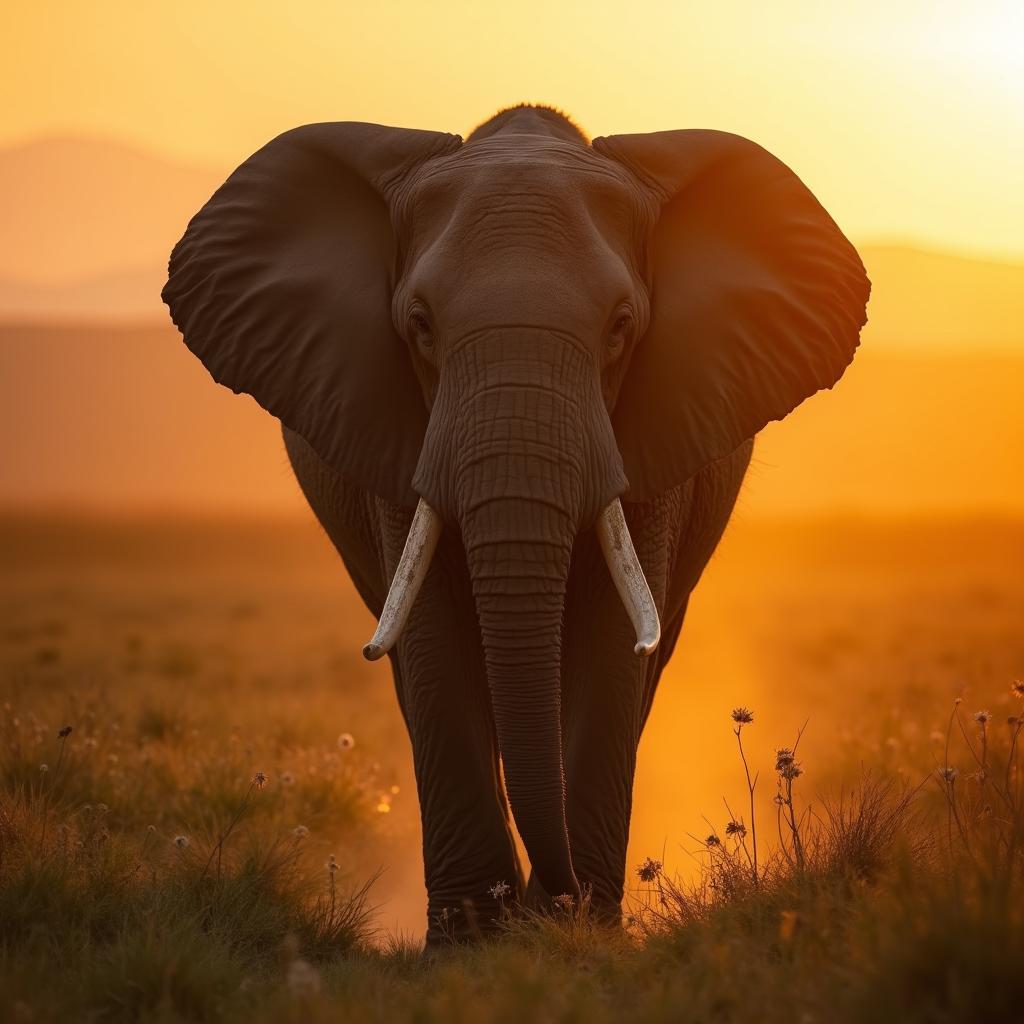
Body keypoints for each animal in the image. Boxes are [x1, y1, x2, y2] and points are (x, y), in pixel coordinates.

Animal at [163, 103, 868, 942]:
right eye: (420, 325)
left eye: (621, 326)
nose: (550, 899)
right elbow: (434, 643)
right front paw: (471, 941)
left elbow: (610, 643)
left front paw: (576, 936)